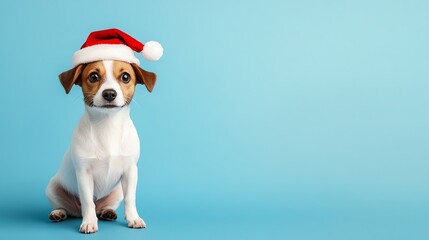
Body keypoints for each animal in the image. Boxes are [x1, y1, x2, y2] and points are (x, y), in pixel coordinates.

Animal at [46, 59, 156, 233]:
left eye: (125, 77)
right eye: (94, 76)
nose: (109, 93)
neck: (107, 125)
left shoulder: (130, 171)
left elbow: (130, 198)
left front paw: (134, 218)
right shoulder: (84, 174)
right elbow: (87, 201)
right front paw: (89, 222)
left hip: (117, 192)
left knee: (102, 206)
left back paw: (107, 211)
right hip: (52, 188)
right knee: (68, 207)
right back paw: (58, 213)